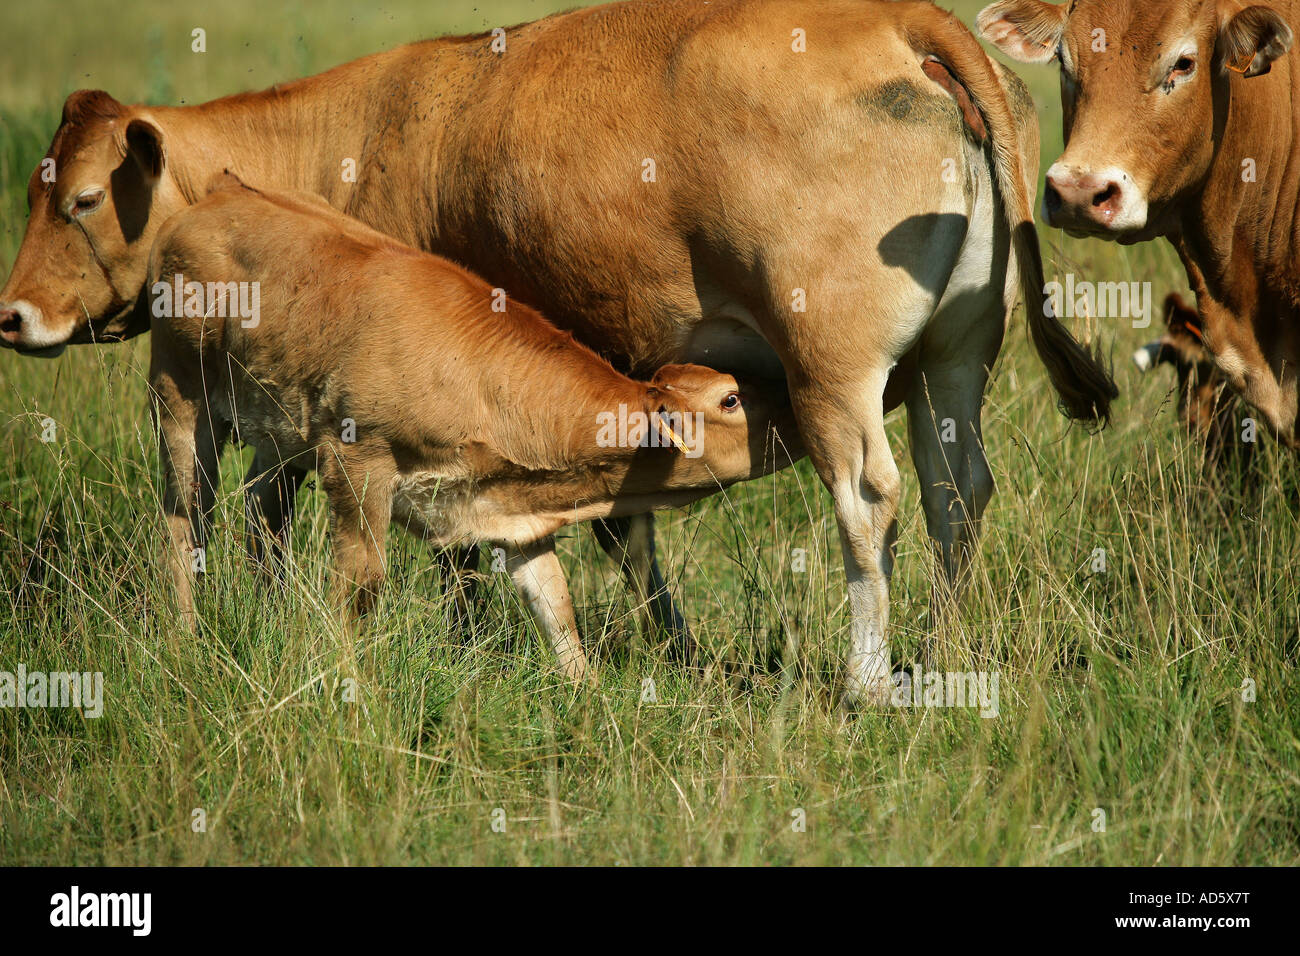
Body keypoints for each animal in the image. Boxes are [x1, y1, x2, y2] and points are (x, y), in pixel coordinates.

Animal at [148, 180, 798, 682]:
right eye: (731, 398)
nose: (793, 406)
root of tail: (215, 198)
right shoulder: (357, 463)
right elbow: (360, 588)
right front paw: (347, 682)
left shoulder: (514, 517)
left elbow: (556, 607)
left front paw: (584, 695)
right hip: (180, 396)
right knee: (184, 519)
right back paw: (183, 640)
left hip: (278, 432)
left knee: (262, 513)